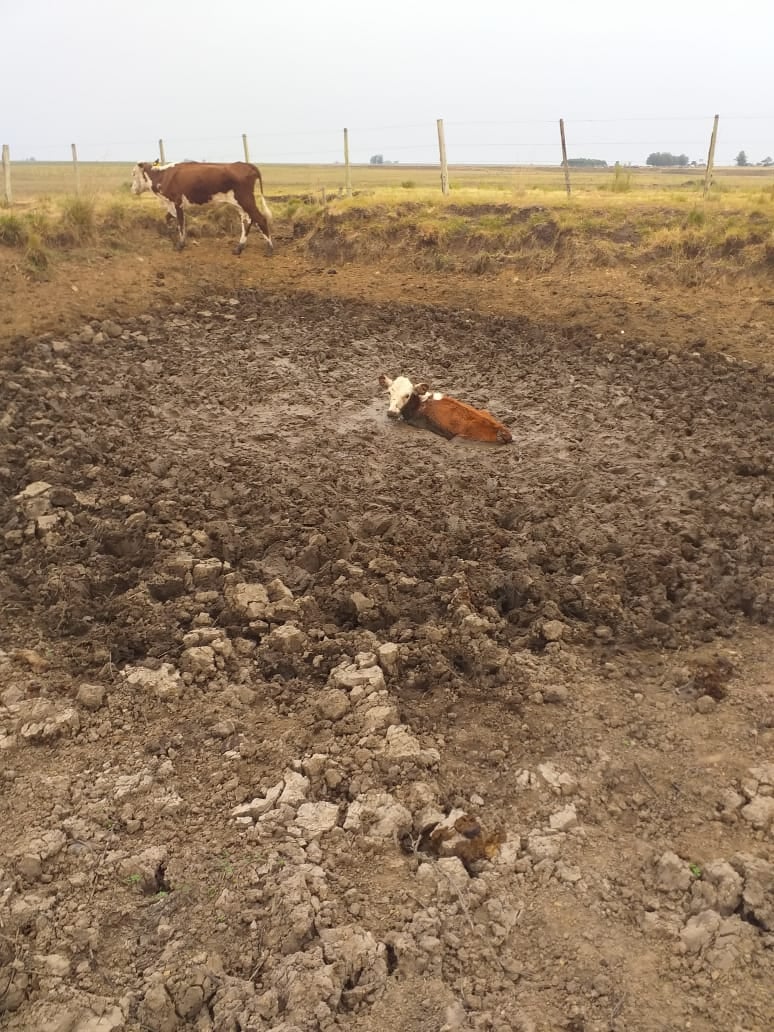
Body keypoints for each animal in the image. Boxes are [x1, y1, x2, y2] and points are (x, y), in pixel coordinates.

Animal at [133, 158, 276, 253]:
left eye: (133, 173)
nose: (132, 189)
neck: (164, 176)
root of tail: (245, 164)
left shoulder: (177, 203)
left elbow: (180, 224)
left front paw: (180, 245)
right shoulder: (172, 204)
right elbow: (168, 219)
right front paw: (171, 237)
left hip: (246, 200)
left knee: (261, 219)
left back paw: (269, 248)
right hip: (240, 204)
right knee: (247, 221)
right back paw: (239, 248)